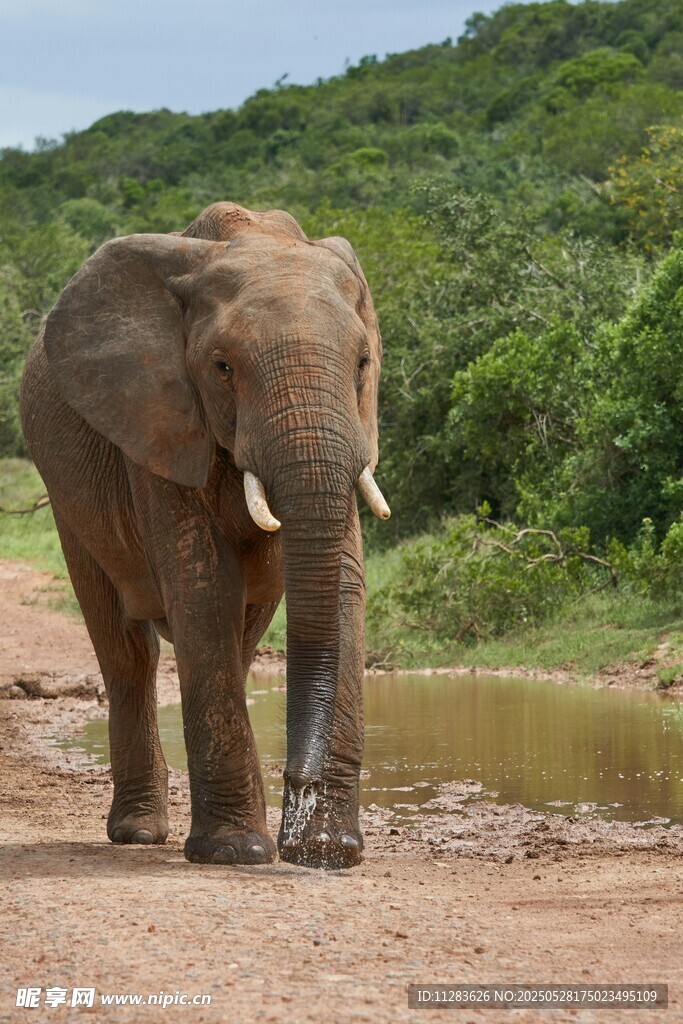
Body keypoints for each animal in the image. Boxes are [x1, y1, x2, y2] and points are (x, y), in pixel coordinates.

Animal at [20, 201, 390, 870]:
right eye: (222, 368)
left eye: (362, 364)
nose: (302, 833)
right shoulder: (157, 421)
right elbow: (203, 585)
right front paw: (236, 853)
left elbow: (346, 583)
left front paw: (327, 850)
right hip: (66, 497)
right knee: (127, 651)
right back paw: (140, 832)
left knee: (240, 640)